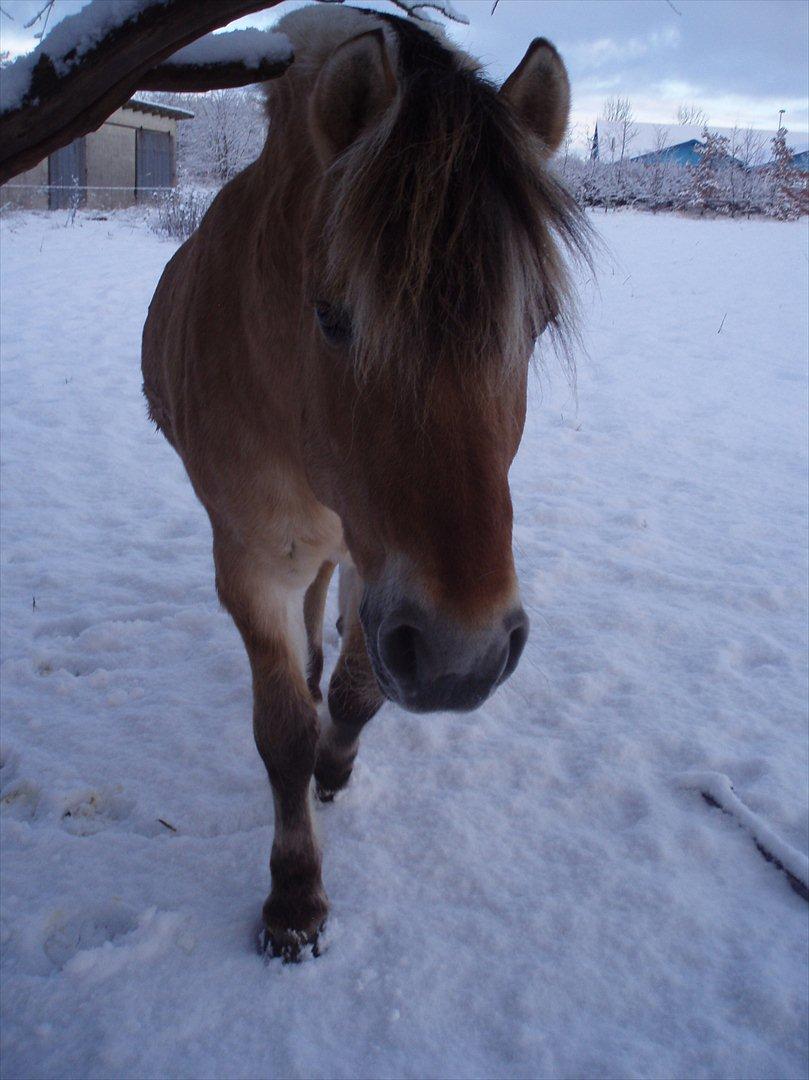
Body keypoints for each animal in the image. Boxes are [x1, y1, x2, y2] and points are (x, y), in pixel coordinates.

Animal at [141, 4, 587, 959]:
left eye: (536, 321)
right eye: (332, 316)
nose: (463, 658)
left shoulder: (370, 563)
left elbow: (357, 690)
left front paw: (336, 766)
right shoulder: (252, 563)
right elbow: (279, 731)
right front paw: (293, 900)